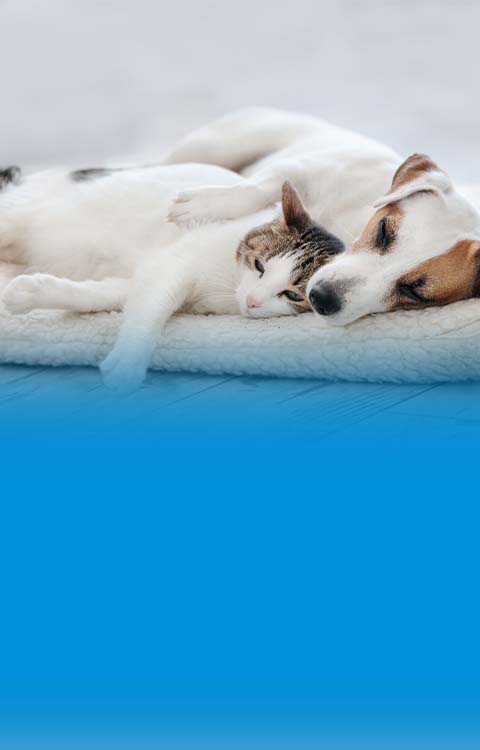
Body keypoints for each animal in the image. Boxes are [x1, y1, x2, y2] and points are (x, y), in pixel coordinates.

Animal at [0, 163, 344, 394]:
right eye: (259, 266)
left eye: (293, 295)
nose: (252, 301)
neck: (226, 287)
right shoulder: (173, 265)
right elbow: (153, 310)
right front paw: (127, 364)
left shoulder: (142, 276)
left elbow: (97, 296)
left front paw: (29, 293)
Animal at [165, 106, 480, 326]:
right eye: (383, 230)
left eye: (415, 293)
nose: (322, 298)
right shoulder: (308, 168)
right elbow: (258, 188)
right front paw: (201, 205)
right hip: (219, 145)